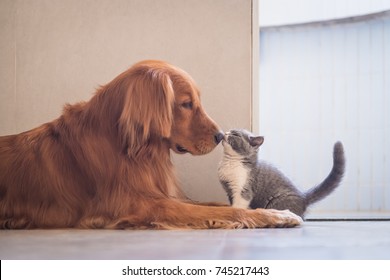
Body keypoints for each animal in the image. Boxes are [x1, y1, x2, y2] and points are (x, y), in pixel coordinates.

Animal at [0, 60, 302, 229]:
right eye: (186, 104)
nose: (220, 136)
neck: (130, 148)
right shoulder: (146, 205)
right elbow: (223, 210)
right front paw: (276, 215)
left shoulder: (164, 196)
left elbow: (222, 206)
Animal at [218, 129, 346, 219]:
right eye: (230, 130)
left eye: (235, 134)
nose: (225, 133)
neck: (229, 162)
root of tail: (303, 198)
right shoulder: (229, 191)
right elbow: (232, 203)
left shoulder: (243, 190)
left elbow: (238, 205)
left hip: (276, 203)